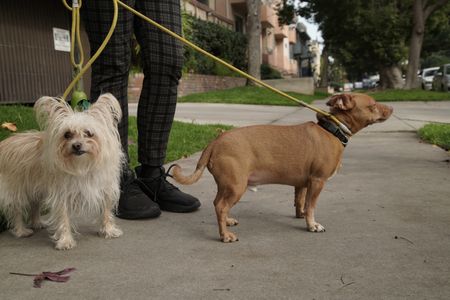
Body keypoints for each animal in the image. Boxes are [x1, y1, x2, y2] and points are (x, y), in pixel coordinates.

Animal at [0, 94, 125, 248]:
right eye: (67, 135)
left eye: (89, 133)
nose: (76, 145)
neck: (82, 166)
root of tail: (4, 144)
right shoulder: (61, 194)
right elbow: (63, 218)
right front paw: (65, 240)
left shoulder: (105, 189)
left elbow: (106, 211)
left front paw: (108, 230)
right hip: (16, 189)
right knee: (16, 210)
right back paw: (21, 230)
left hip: (35, 188)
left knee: (34, 205)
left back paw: (37, 222)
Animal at [171, 92, 392, 243]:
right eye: (373, 105)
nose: (391, 109)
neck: (333, 130)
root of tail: (215, 142)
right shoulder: (317, 181)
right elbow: (312, 205)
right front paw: (312, 225)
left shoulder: (303, 183)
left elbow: (301, 201)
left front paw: (301, 215)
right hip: (236, 186)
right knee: (221, 206)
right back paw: (225, 235)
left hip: (227, 185)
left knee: (218, 204)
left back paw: (227, 221)